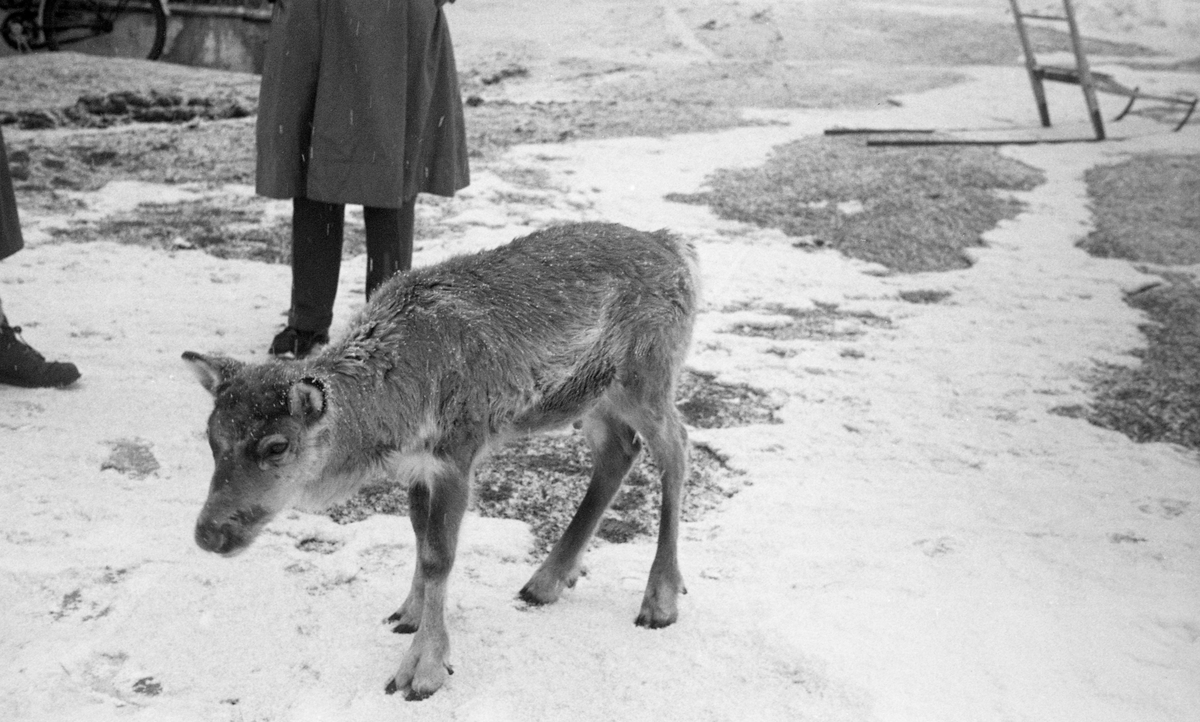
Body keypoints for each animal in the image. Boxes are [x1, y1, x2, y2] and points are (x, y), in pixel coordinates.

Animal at [182, 220, 700, 695]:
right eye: (212, 436)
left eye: (276, 445)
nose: (208, 532)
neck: (398, 408)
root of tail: (678, 247)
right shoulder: (417, 464)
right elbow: (418, 534)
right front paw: (407, 614)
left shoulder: (458, 449)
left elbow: (439, 556)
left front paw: (423, 670)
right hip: (591, 397)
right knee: (621, 449)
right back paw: (547, 581)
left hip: (648, 372)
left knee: (677, 445)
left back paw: (659, 600)